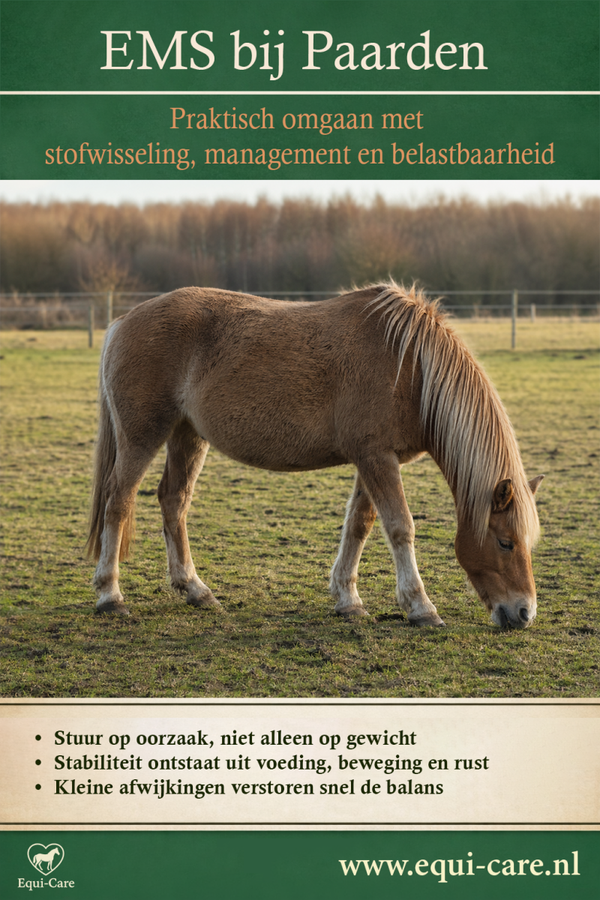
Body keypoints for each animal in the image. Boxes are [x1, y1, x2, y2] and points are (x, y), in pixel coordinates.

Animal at [87, 282, 543, 629]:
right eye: (505, 542)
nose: (524, 613)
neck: (409, 367)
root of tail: (122, 322)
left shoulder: (374, 459)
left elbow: (359, 525)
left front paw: (348, 600)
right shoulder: (377, 458)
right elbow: (400, 528)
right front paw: (420, 607)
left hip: (187, 435)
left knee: (173, 502)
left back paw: (195, 590)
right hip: (141, 437)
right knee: (118, 502)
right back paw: (110, 595)